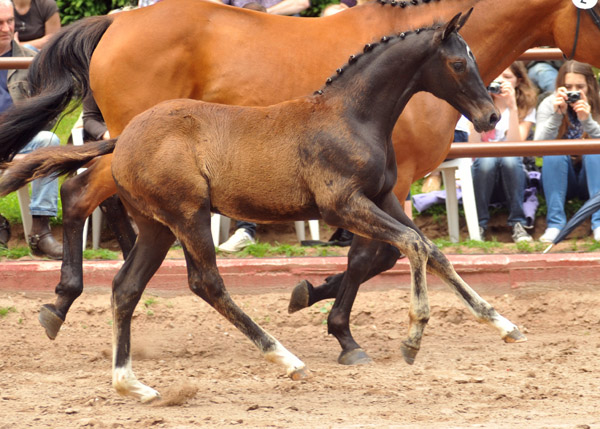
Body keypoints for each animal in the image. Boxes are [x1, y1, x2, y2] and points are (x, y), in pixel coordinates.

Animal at [0, 0, 596, 348]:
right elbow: (387, 253)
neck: (353, 110)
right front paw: (342, 325)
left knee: (98, 203)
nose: (491, 117)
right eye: (456, 63)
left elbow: (416, 250)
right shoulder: (368, 195)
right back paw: (64, 298)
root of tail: (116, 19)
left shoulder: (387, 192)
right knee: (81, 192)